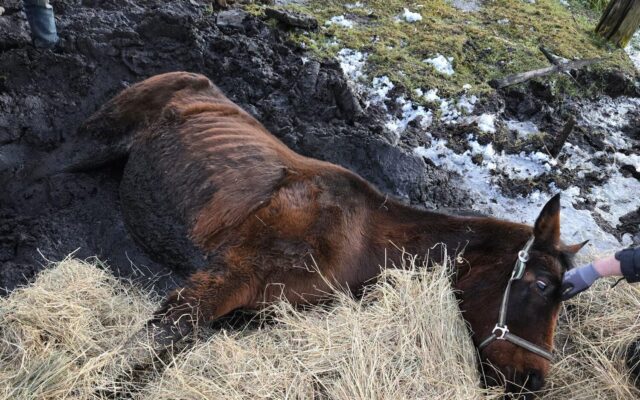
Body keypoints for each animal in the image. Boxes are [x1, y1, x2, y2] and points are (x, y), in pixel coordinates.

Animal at [32, 72, 586, 395]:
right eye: (540, 285)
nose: (535, 381)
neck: (360, 239)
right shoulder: (225, 275)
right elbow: (153, 347)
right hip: (90, 144)